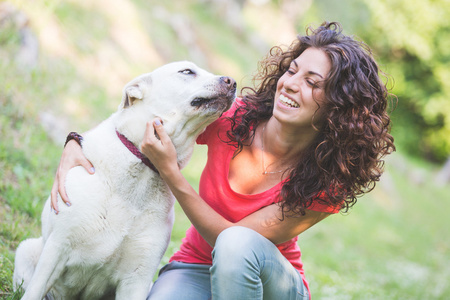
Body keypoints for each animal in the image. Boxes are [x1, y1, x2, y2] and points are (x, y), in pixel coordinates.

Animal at [13, 61, 236, 300]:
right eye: (186, 71)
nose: (232, 81)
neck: (142, 168)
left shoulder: (138, 278)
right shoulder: (57, 248)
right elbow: (35, 290)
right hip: (27, 250)